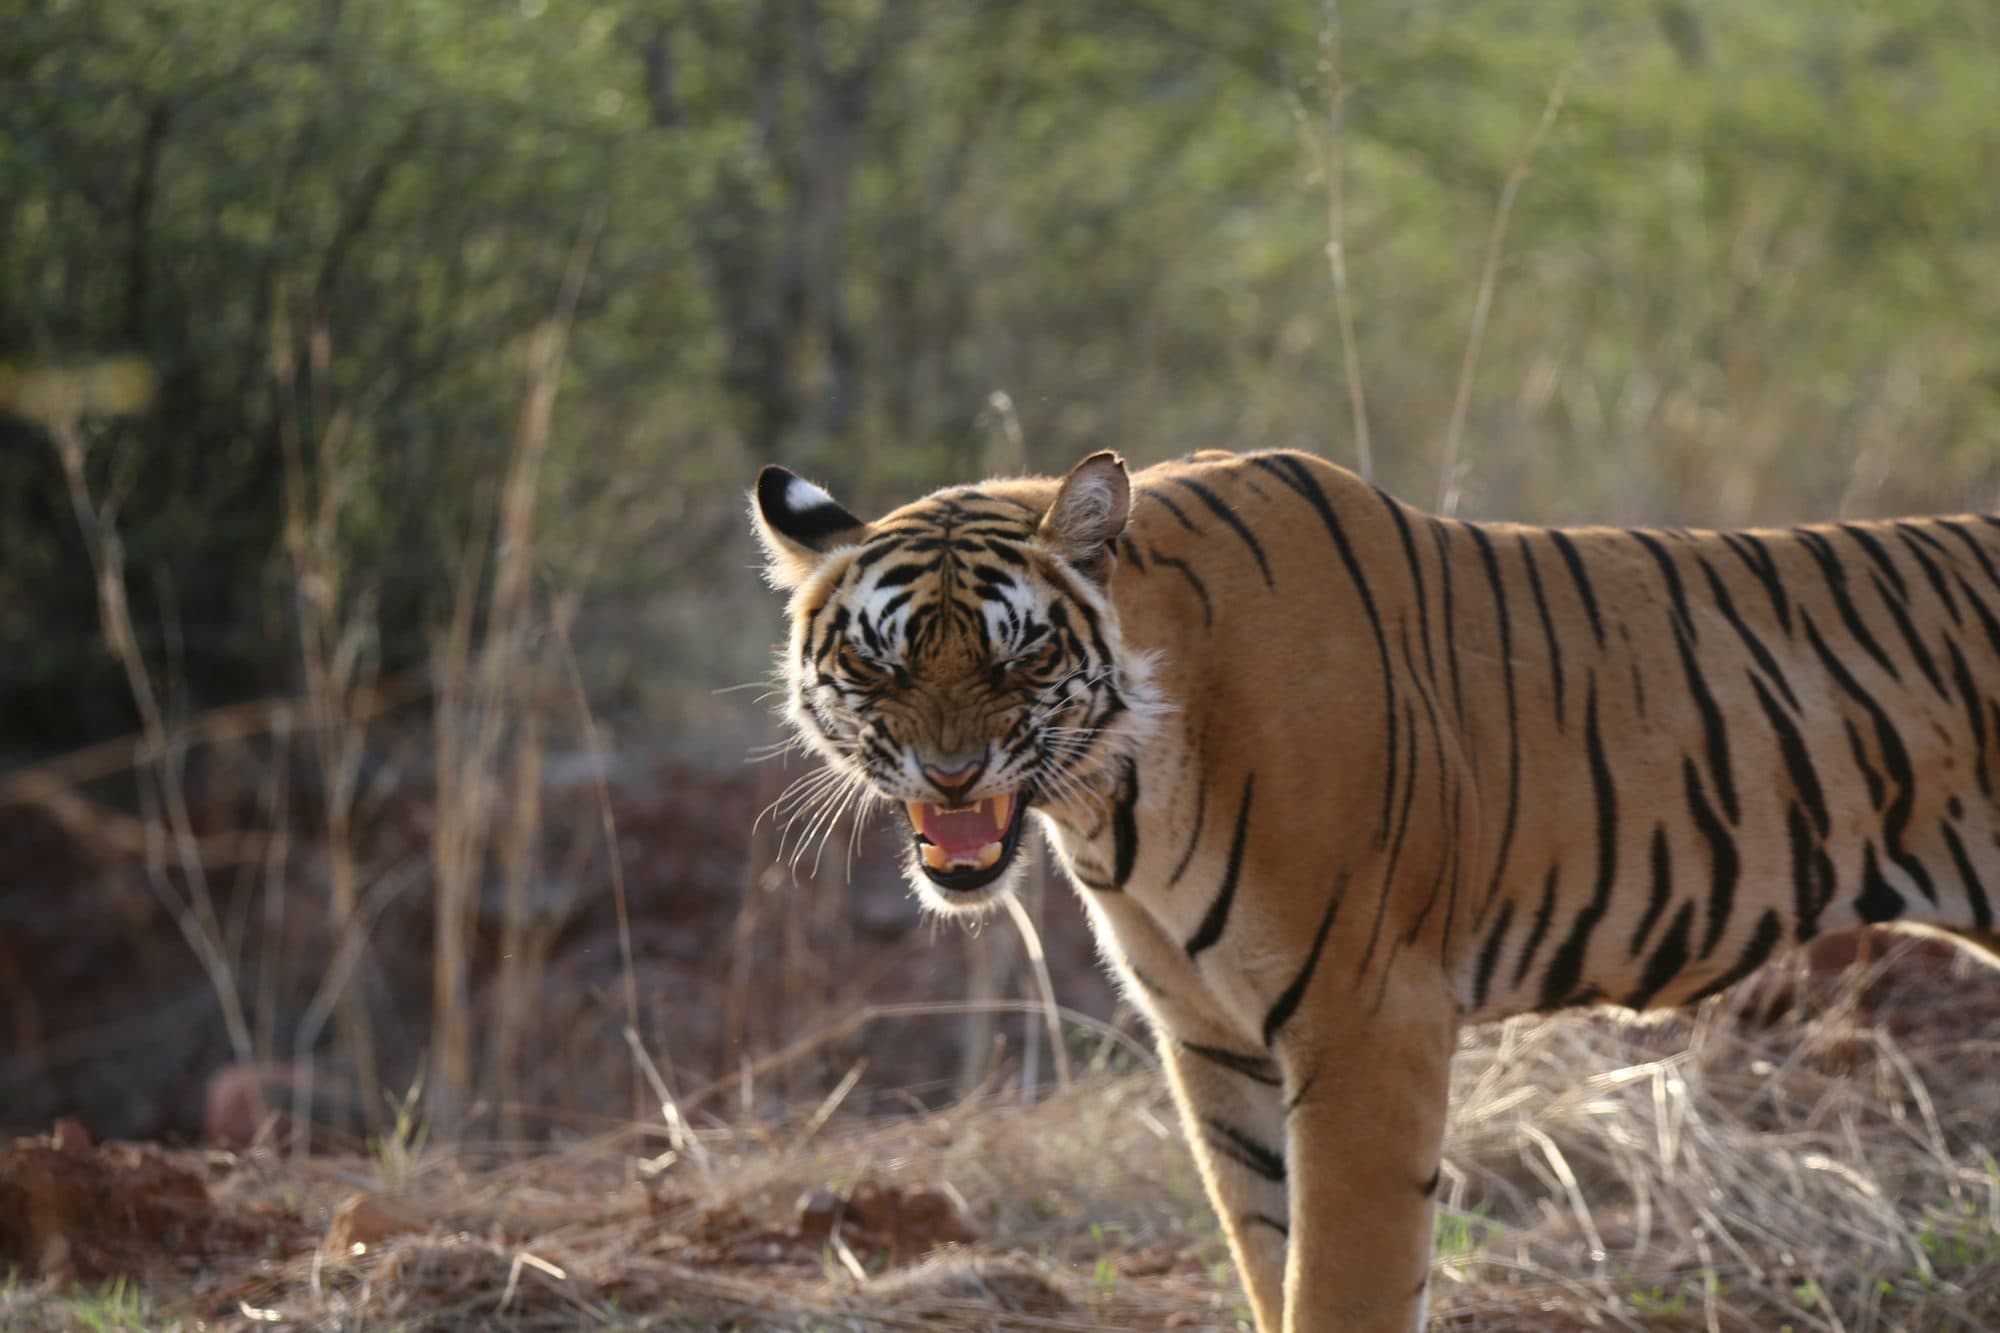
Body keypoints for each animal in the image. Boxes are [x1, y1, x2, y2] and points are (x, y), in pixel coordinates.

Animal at [749, 447, 2000, 1332]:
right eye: (879, 661)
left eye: (1017, 656)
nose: (950, 773)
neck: (1117, 793)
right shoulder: (1209, 1034)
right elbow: (1267, 1254)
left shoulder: (1365, 1017)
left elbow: (1340, 1284)